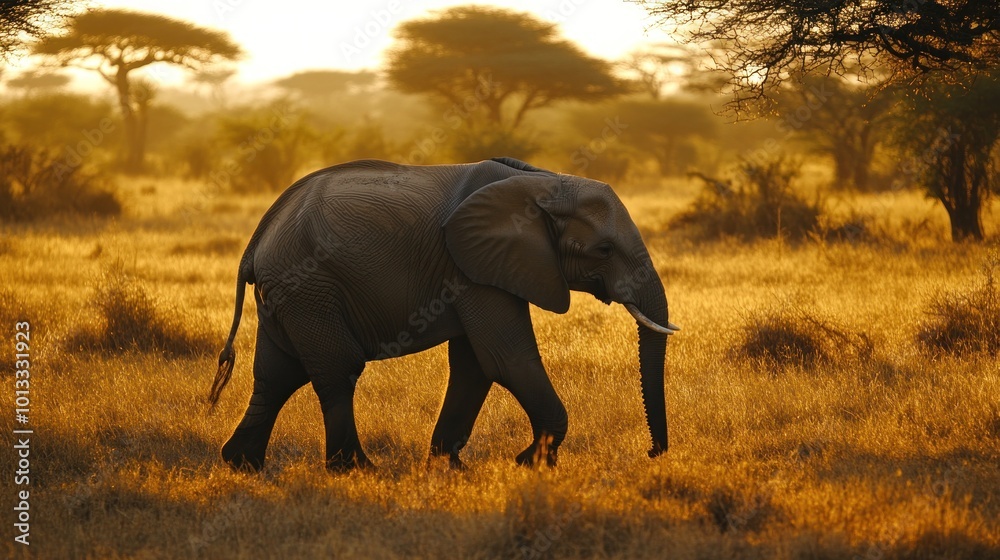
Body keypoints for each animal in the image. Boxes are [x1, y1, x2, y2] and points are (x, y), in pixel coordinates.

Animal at [208, 156, 678, 472]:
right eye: (604, 250)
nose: (652, 452)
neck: (545, 181)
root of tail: (257, 240)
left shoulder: (480, 268)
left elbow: (476, 366)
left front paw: (448, 468)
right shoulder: (473, 267)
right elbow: (506, 359)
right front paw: (532, 464)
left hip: (291, 295)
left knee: (278, 374)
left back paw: (242, 464)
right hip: (308, 287)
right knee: (337, 370)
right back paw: (357, 470)